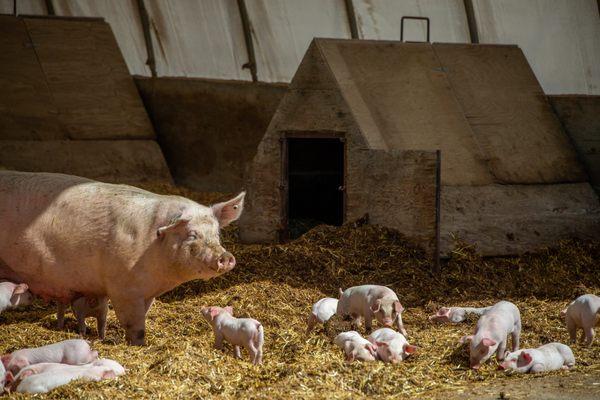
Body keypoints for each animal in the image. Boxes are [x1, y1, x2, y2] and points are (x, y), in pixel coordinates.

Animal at [0, 170, 245, 346]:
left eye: (217, 233)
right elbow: (134, 326)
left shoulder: (146, 293)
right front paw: (139, 345)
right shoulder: (123, 289)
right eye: (192, 234)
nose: (226, 257)